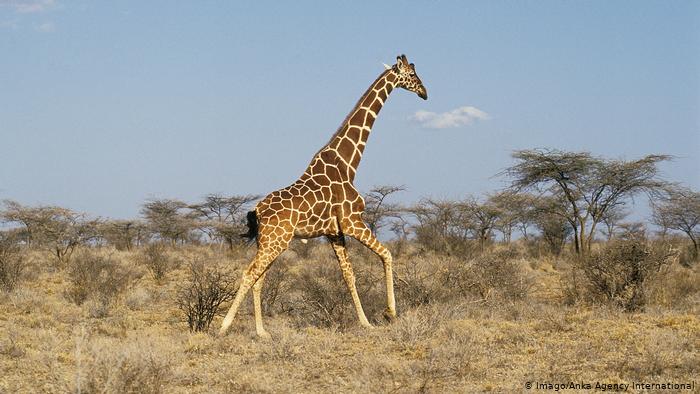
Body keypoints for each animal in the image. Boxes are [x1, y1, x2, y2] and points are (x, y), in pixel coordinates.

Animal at [219, 53, 426, 338]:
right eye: (413, 75)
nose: (425, 93)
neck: (348, 163)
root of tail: (257, 212)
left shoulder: (334, 232)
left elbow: (349, 275)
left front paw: (365, 321)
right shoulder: (352, 222)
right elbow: (386, 254)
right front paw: (389, 313)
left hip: (269, 242)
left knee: (258, 279)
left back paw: (262, 332)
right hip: (276, 242)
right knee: (249, 274)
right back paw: (223, 326)